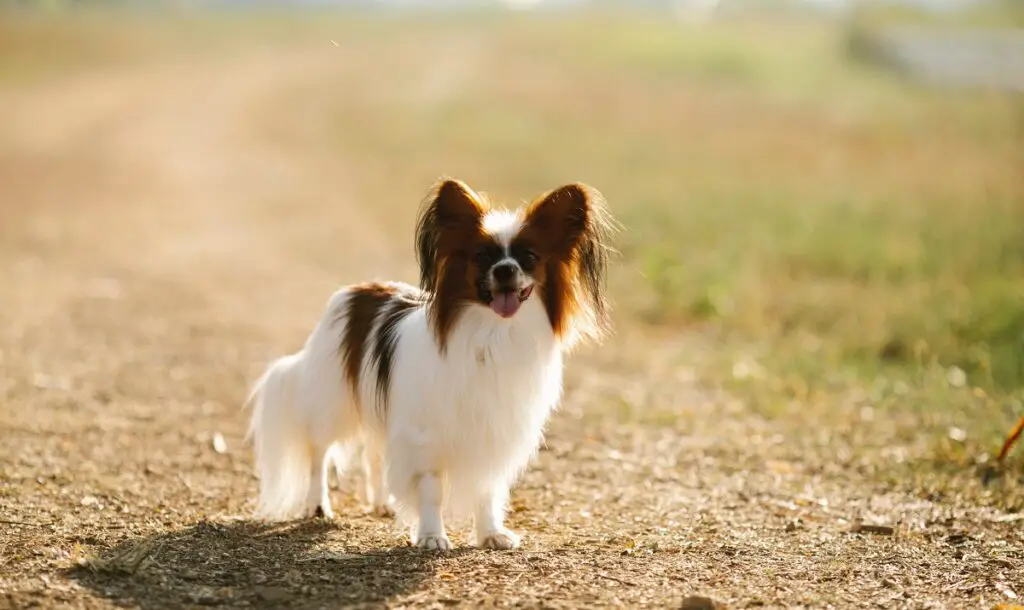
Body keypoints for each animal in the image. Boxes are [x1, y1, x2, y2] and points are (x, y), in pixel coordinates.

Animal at [247, 179, 614, 548]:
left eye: (528, 257)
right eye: (482, 257)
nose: (505, 270)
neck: (493, 333)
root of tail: (356, 290)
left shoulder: (492, 433)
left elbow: (486, 489)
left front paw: (490, 533)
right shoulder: (424, 435)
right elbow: (431, 490)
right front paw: (431, 535)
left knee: (374, 454)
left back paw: (381, 502)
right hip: (333, 404)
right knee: (319, 453)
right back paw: (317, 504)